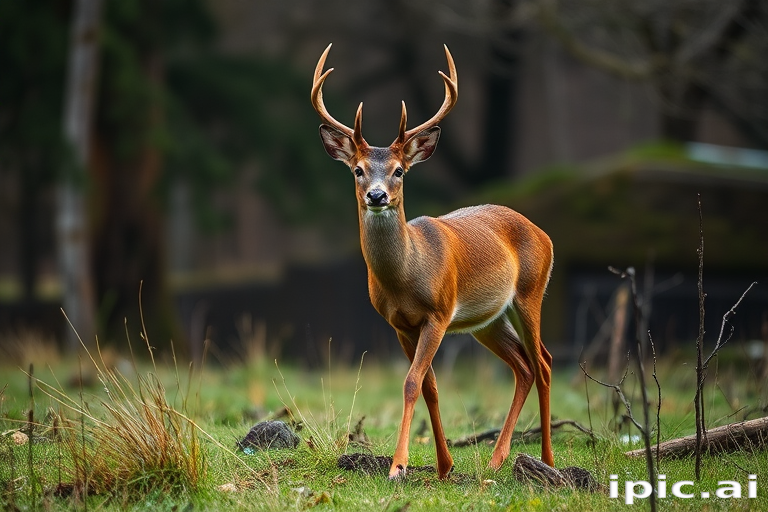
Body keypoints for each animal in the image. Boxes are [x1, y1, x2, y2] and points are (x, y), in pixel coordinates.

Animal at [311, 43, 554, 480]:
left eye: (399, 171)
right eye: (357, 170)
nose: (376, 195)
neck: (407, 277)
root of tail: (543, 234)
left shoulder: (438, 314)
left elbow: (411, 383)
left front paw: (398, 466)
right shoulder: (399, 324)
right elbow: (429, 385)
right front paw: (443, 466)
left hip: (530, 293)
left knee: (543, 362)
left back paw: (546, 459)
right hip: (487, 320)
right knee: (524, 366)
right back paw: (497, 458)